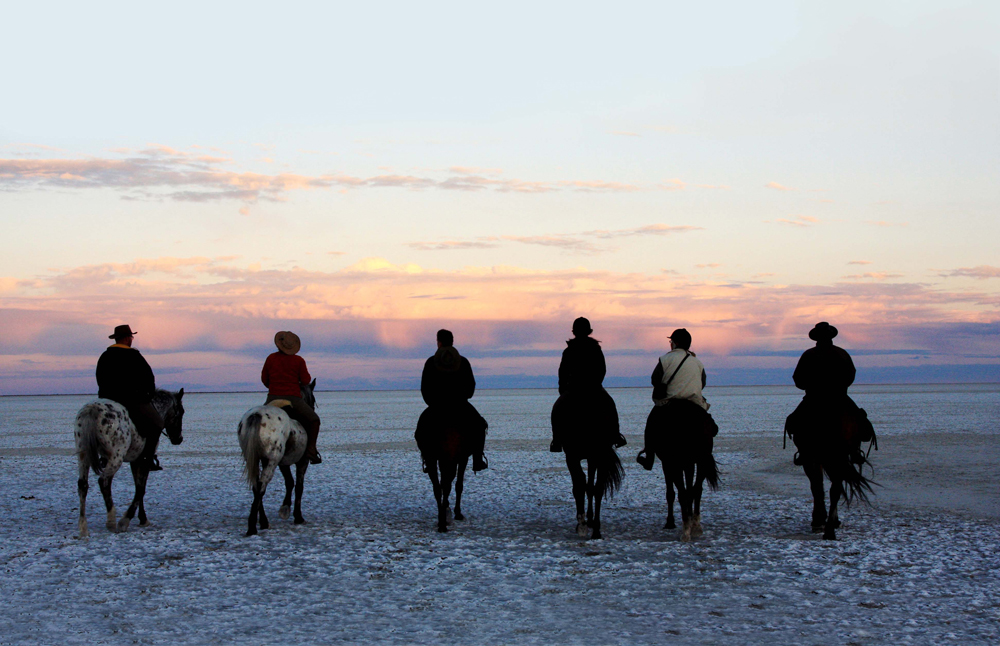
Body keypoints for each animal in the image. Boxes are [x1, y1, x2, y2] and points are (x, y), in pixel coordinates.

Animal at [74, 390, 186, 540]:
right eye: (181, 412)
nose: (178, 439)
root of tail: (92, 410)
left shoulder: (135, 460)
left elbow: (138, 486)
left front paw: (142, 518)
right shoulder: (145, 458)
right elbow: (141, 489)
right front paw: (125, 520)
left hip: (83, 452)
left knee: (83, 485)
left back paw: (83, 527)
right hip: (117, 455)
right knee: (104, 481)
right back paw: (111, 521)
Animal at [236, 380, 314, 536]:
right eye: (313, 399)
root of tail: (256, 415)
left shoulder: (283, 462)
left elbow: (289, 482)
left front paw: (285, 509)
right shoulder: (302, 461)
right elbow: (299, 486)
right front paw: (297, 516)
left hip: (254, 459)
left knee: (256, 486)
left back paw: (262, 522)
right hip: (272, 460)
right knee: (261, 487)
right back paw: (252, 527)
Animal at [552, 394, 620, 540]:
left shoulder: (574, 457)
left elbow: (580, 486)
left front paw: (583, 525)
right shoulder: (586, 457)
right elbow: (587, 486)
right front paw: (587, 522)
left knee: (590, 486)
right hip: (597, 456)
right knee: (594, 487)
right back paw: (594, 527)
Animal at [648, 402, 720, 544]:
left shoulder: (668, 463)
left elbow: (671, 493)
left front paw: (670, 522)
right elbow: (689, 490)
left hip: (678, 462)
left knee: (683, 493)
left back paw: (686, 529)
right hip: (701, 460)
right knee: (696, 489)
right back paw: (695, 525)